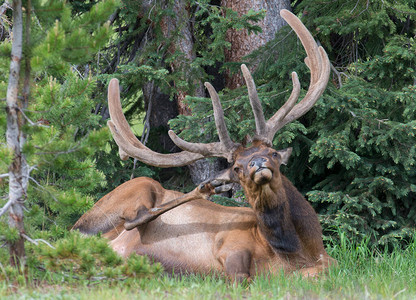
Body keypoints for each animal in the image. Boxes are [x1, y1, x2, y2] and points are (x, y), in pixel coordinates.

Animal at [73, 9, 336, 282]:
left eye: (273, 153)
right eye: (237, 168)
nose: (257, 163)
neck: (296, 251)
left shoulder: (327, 259)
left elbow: (321, 269)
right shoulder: (230, 246)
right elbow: (243, 277)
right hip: (132, 190)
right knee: (129, 219)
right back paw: (203, 190)